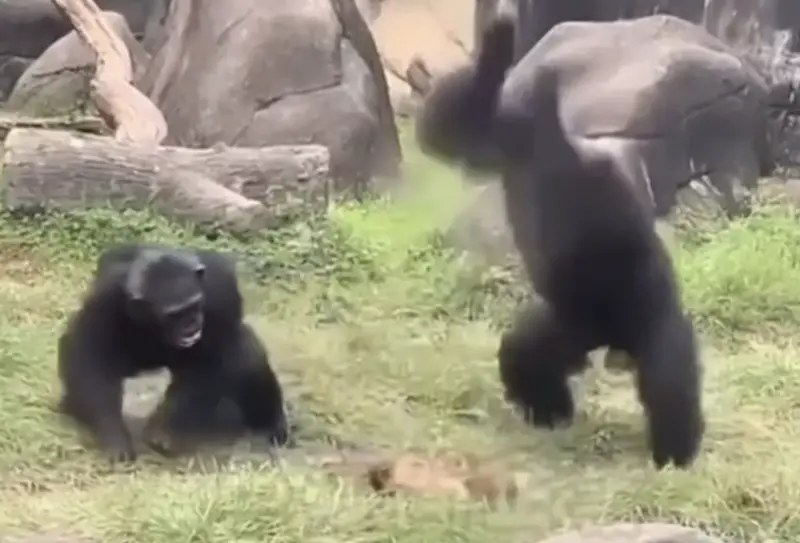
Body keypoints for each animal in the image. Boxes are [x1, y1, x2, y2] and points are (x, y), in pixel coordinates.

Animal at [58, 244, 290, 462]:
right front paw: (113, 436)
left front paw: (162, 432)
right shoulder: (102, 299)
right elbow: (89, 352)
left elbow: (211, 358)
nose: (192, 324)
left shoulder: (220, 289)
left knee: (246, 355)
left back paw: (272, 426)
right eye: (174, 315)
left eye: (195, 305)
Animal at [416, 17, 704, 468]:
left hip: (632, 320)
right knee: (529, 353)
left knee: (667, 376)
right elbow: (446, 124)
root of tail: (612, 339)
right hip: (570, 327)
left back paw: (673, 451)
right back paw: (550, 411)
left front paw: (497, 50)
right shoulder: (507, 142)